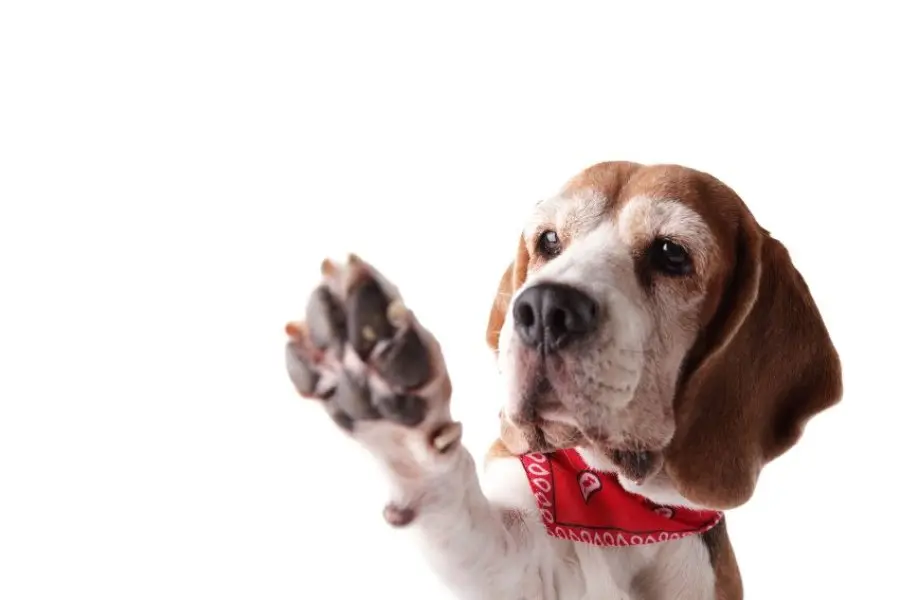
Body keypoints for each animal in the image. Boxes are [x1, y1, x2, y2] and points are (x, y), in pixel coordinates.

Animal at [284, 161, 840, 600]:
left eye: (671, 253)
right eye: (549, 240)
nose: (546, 308)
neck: (628, 513)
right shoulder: (519, 563)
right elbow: (468, 530)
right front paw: (394, 413)